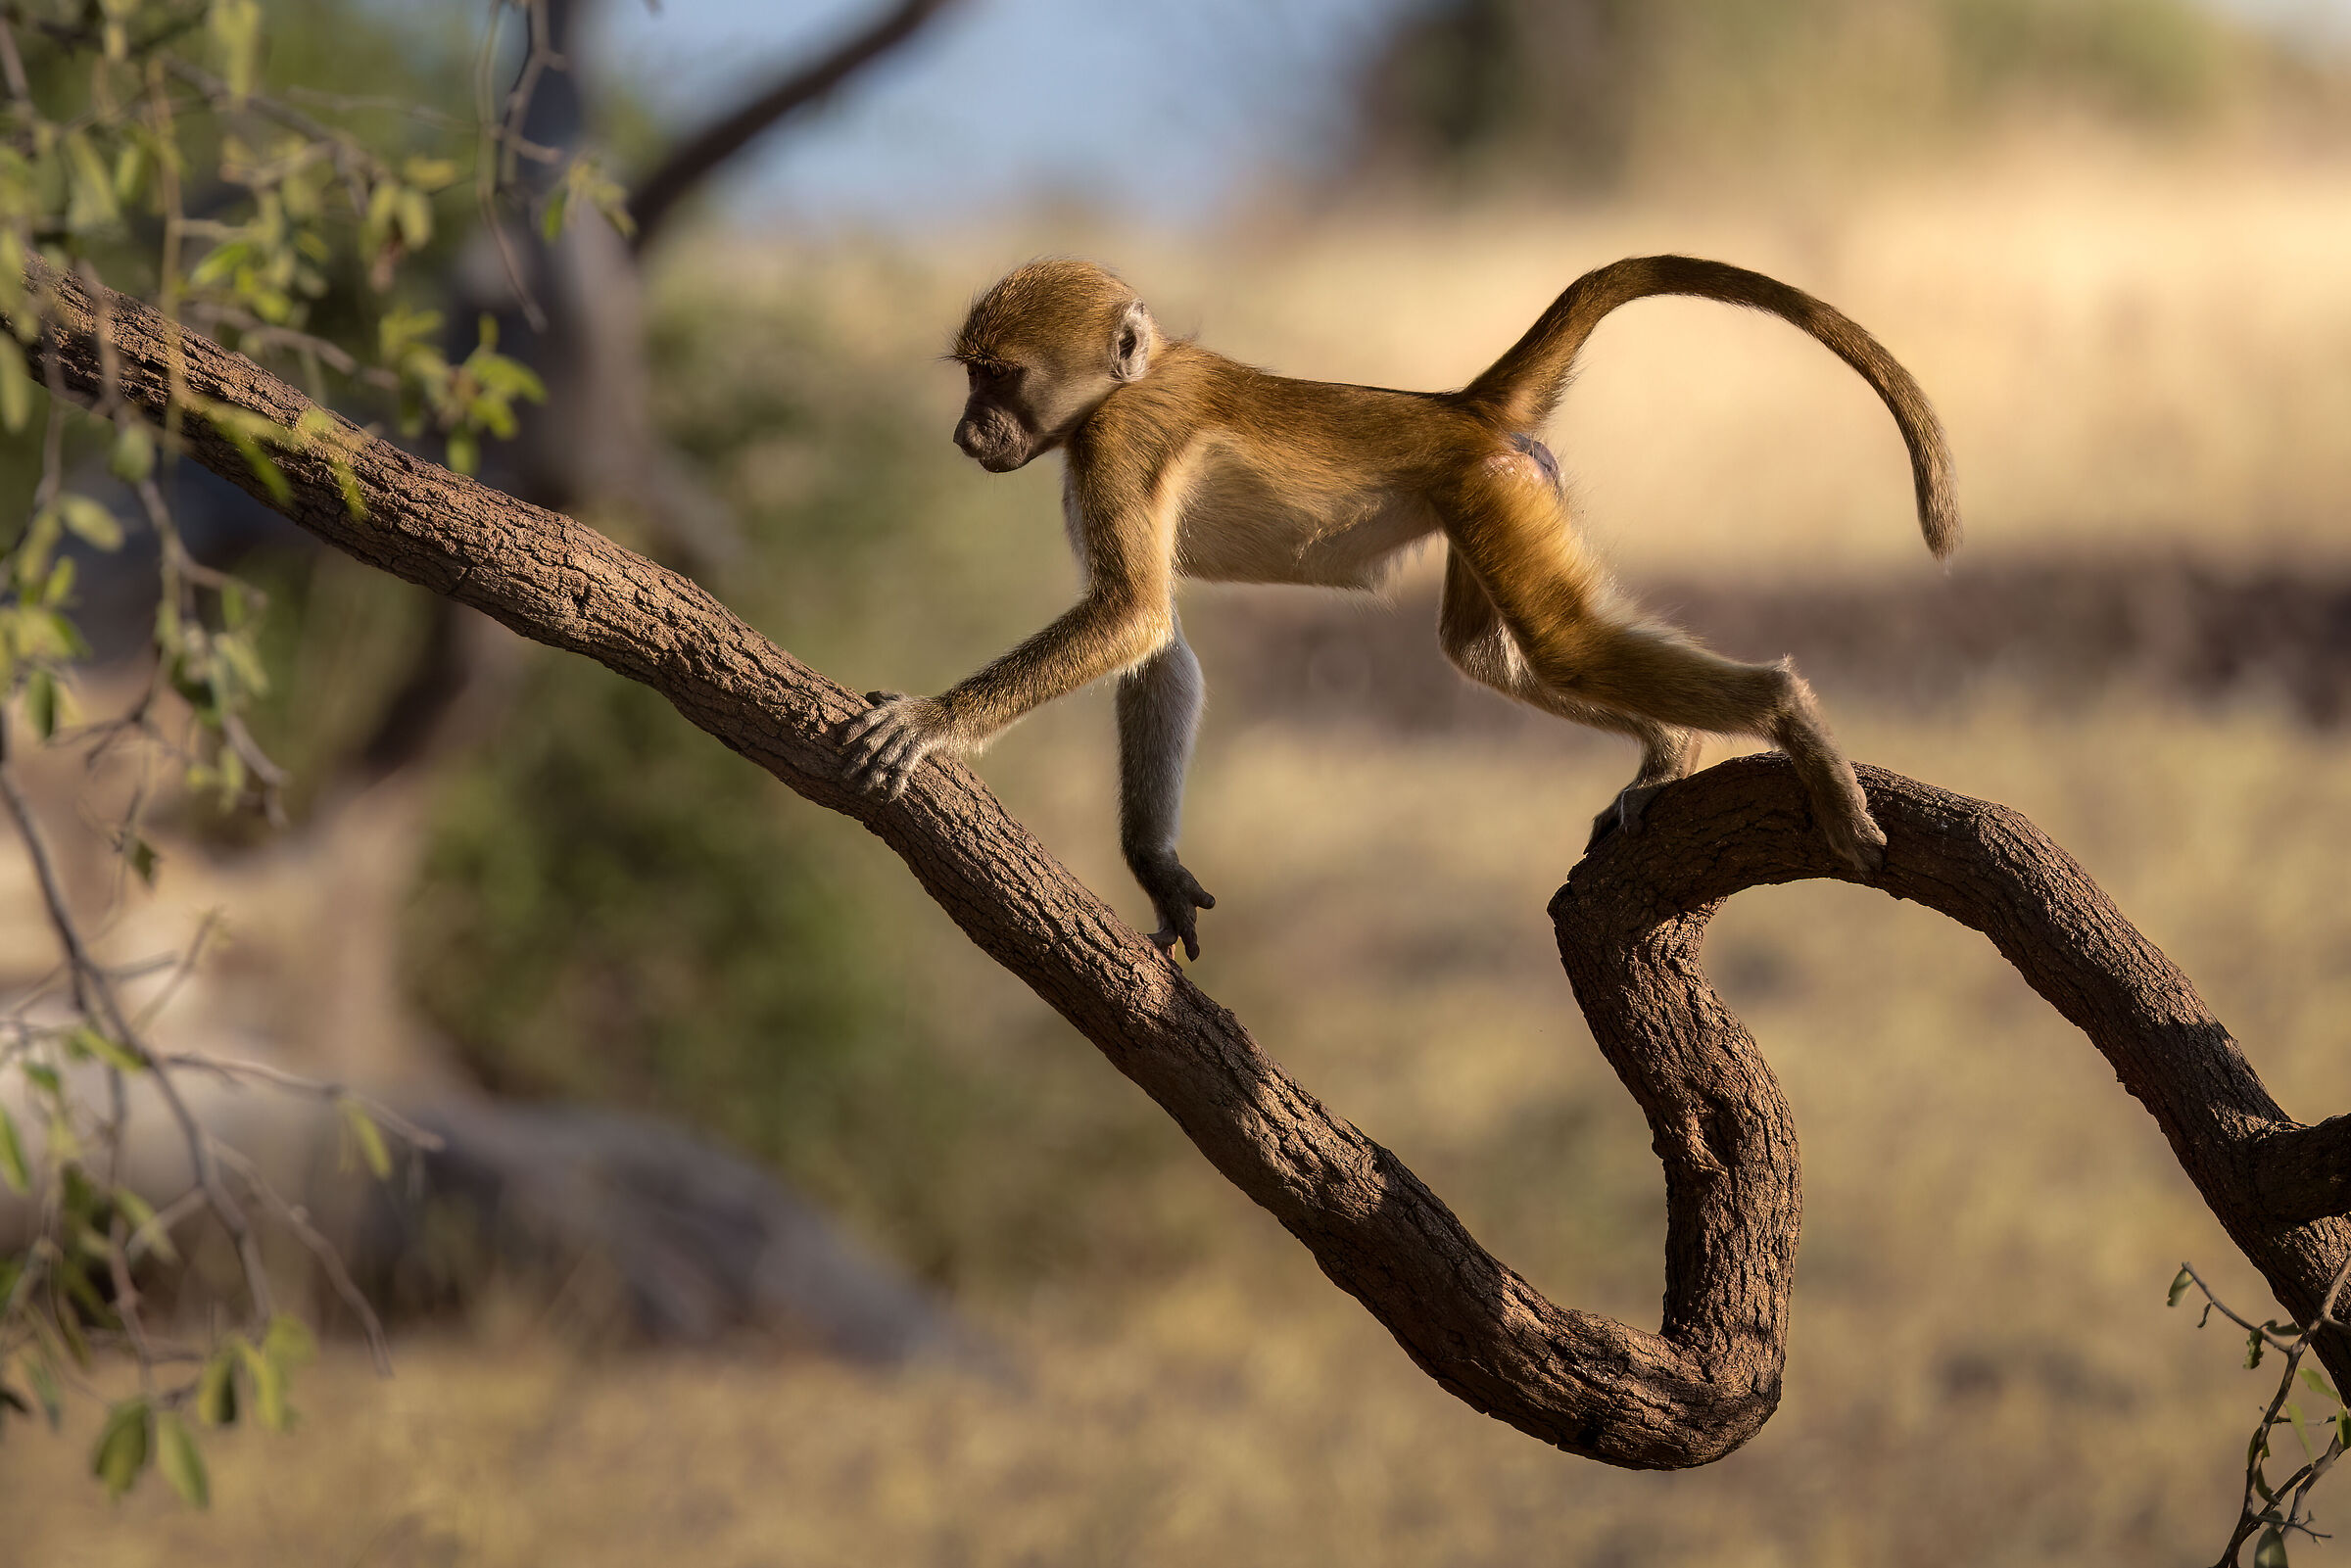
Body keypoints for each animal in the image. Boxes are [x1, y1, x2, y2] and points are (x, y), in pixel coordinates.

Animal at [842, 254, 1959, 959]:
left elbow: (1132, 618)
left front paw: (931, 723)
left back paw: (1786, 717)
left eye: (999, 376)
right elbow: (1156, 645)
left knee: (1560, 642)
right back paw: (1668, 750)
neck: (1132, 381)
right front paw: (1156, 866)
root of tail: (1457, 408)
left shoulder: (1115, 443)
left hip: (1490, 488)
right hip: (1501, 491)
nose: (966, 432)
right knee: (1485, 650)